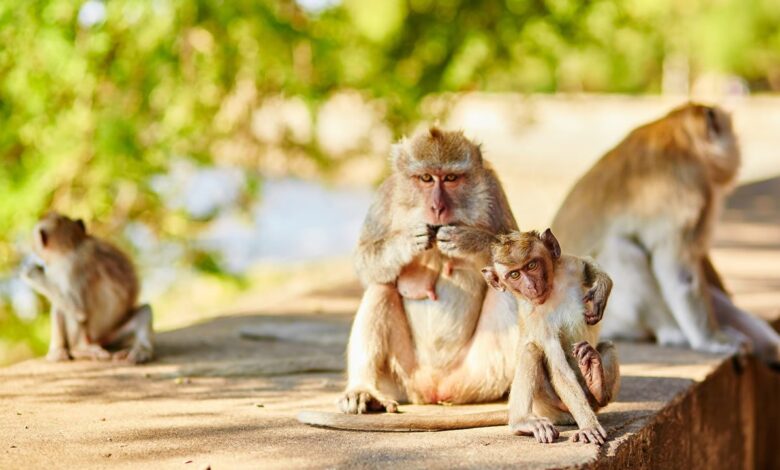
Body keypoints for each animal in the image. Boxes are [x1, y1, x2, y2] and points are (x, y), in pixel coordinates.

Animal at [20, 213, 154, 364]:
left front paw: (32, 273)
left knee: (65, 309)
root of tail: (98, 339)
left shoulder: (70, 266)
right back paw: (142, 351)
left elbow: (78, 309)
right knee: (145, 310)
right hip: (113, 334)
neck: (75, 243)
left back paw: (76, 349)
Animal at [296, 126, 612, 432]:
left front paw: (465, 239)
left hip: (481, 375)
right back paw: (364, 390)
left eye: (450, 178)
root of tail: (437, 389)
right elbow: (364, 260)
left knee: (503, 297)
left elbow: (509, 236)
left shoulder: (493, 188)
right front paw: (407, 241)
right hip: (405, 377)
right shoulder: (385, 195)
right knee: (381, 286)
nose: (437, 208)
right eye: (425, 178)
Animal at [478, 229, 620, 446]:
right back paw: (522, 422)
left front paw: (601, 289)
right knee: (531, 349)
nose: (531, 286)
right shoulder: (538, 320)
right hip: (551, 406)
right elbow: (559, 370)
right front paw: (589, 425)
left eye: (532, 265)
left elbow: (584, 263)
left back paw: (596, 382)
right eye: (514, 274)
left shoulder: (568, 266)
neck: (551, 292)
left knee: (608, 346)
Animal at [552, 103, 780, 360]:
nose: (736, 146)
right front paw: (712, 339)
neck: (681, 135)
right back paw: (674, 333)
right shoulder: (688, 186)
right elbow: (677, 271)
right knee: (619, 249)